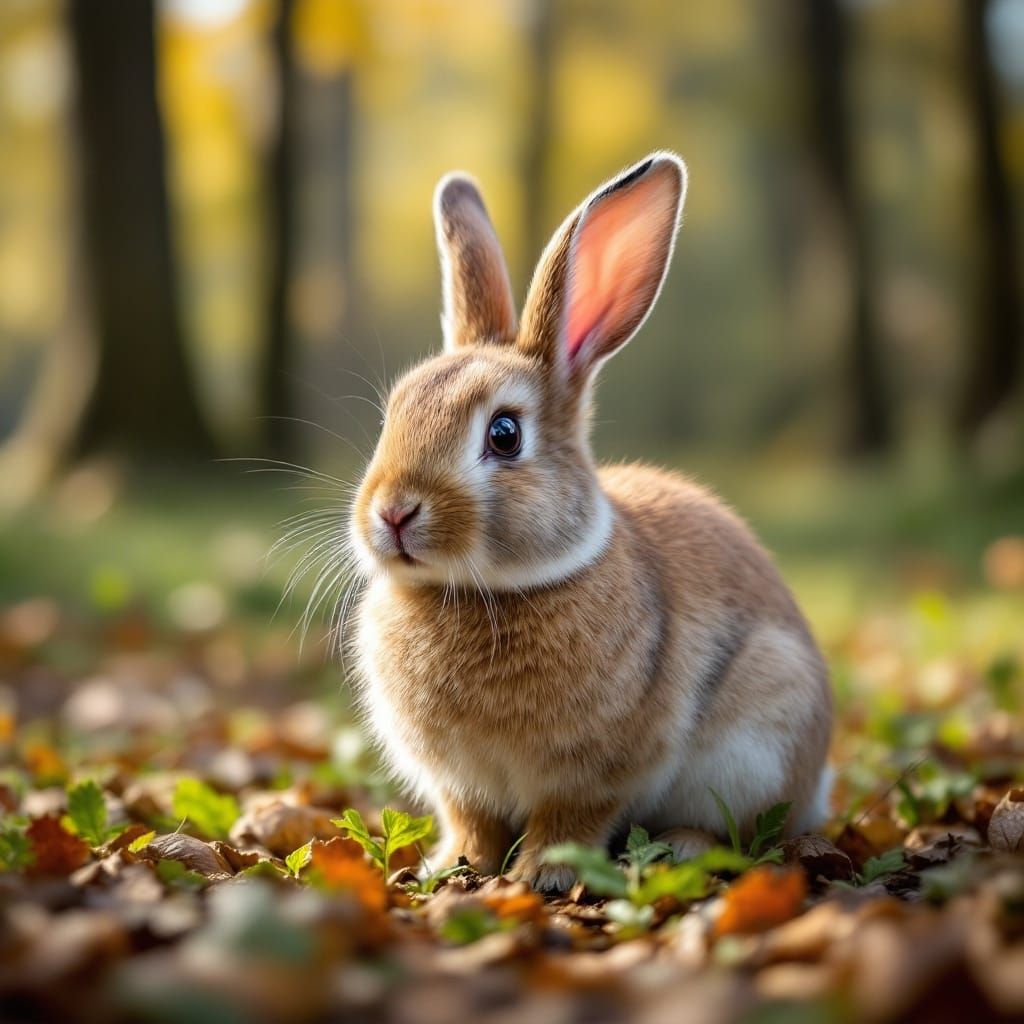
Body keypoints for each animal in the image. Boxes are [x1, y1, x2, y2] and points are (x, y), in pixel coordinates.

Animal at [348, 152, 833, 892]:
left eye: (505, 435)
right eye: (393, 414)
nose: (393, 511)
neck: (485, 590)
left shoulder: (596, 773)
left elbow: (568, 821)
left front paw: (539, 876)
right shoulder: (462, 786)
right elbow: (472, 823)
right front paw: (451, 868)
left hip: (762, 736)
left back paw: (681, 848)